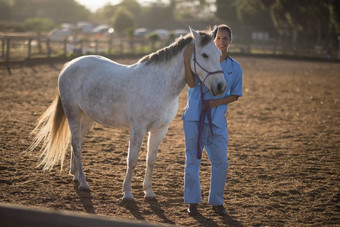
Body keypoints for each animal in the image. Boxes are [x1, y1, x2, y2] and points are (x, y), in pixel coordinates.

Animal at [28, 27, 226, 200]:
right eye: (205, 55)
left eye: (219, 54)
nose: (220, 86)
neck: (159, 85)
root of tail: (69, 65)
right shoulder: (138, 129)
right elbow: (132, 160)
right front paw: (128, 194)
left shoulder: (160, 130)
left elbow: (150, 160)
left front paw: (149, 192)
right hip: (73, 114)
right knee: (76, 144)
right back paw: (83, 183)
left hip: (87, 118)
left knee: (75, 143)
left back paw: (76, 175)